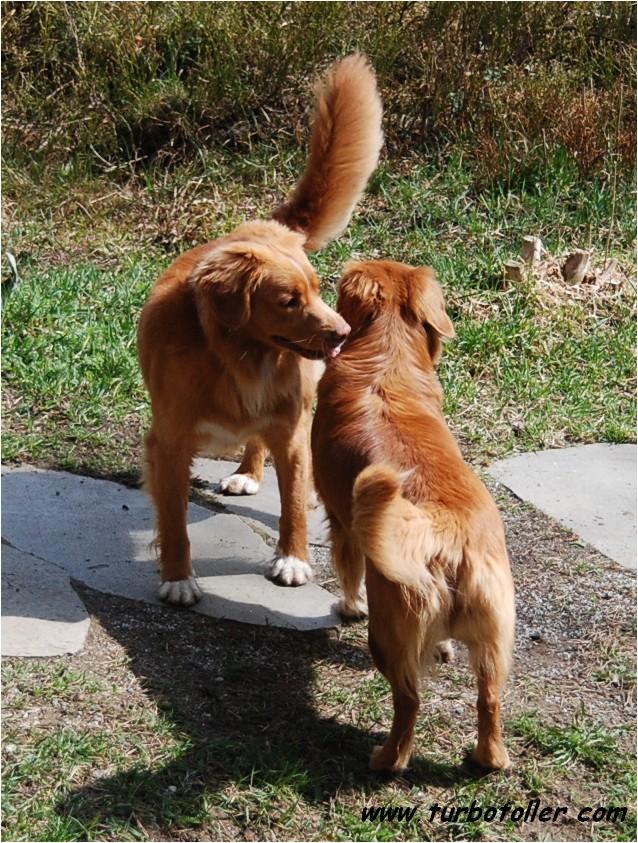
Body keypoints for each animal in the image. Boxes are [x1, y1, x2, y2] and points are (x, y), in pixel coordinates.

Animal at [139, 54, 384, 608]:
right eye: (290, 301)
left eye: (319, 290)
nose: (343, 333)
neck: (237, 357)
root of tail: (272, 226)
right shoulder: (169, 442)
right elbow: (175, 520)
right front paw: (178, 577)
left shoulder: (292, 434)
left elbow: (291, 502)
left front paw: (293, 560)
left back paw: (254, 474)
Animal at [312, 260, 516, 776]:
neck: (388, 356)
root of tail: (448, 537)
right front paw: (441, 647)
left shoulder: (341, 521)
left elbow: (347, 573)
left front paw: (348, 606)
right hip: (494, 643)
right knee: (489, 700)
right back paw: (488, 758)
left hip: (388, 631)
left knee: (409, 702)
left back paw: (387, 759)